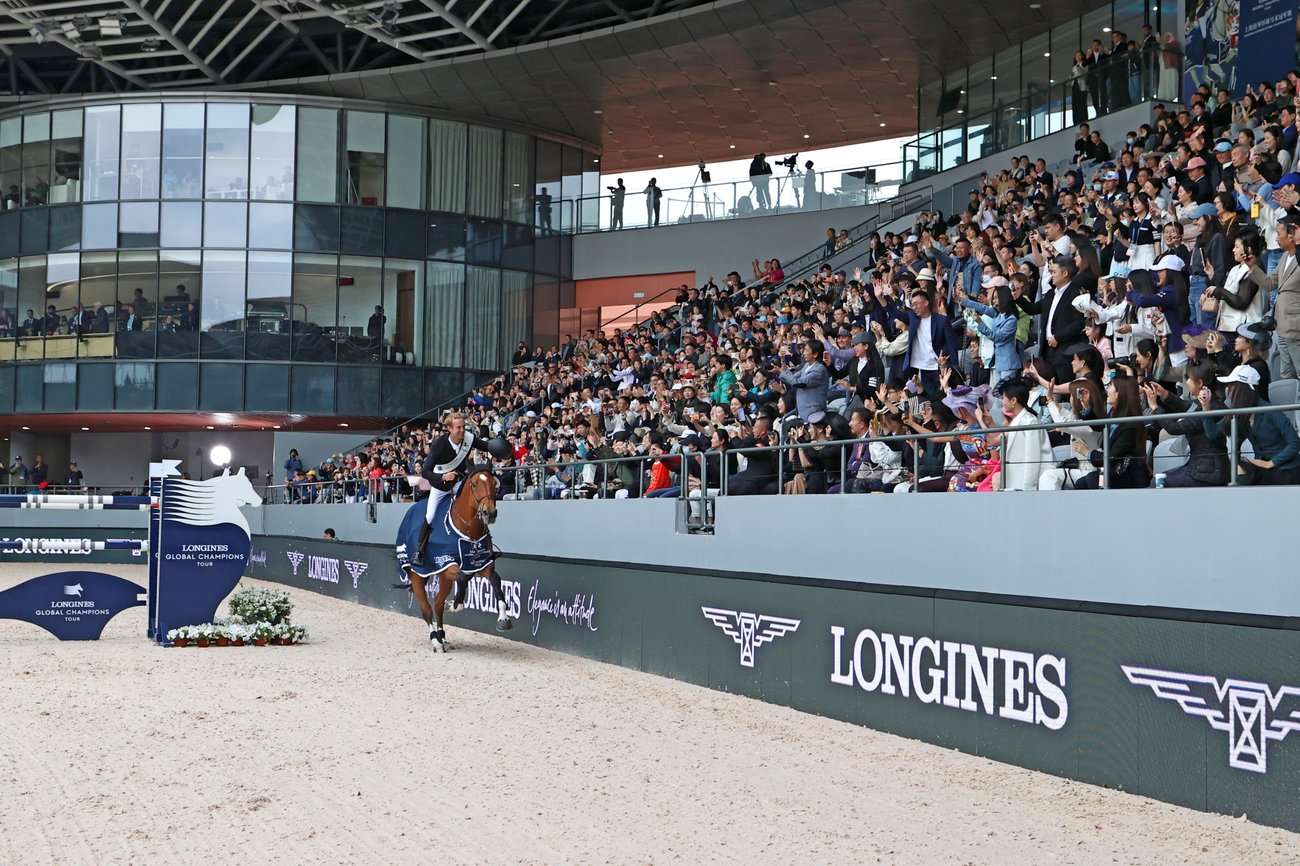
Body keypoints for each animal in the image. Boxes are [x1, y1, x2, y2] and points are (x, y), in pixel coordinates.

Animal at [395, 465, 512, 647]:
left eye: (495, 484)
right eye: (474, 485)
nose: (490, 513)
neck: (469, 530)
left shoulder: (483, 564)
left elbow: (496, 582)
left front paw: (503, 619)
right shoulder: (447, 563)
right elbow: (463, 579)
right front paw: (455, 605)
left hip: (444, 578)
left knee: (437, 604)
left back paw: (442, 636)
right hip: (416, 575)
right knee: (426, 609)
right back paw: (435, 640)